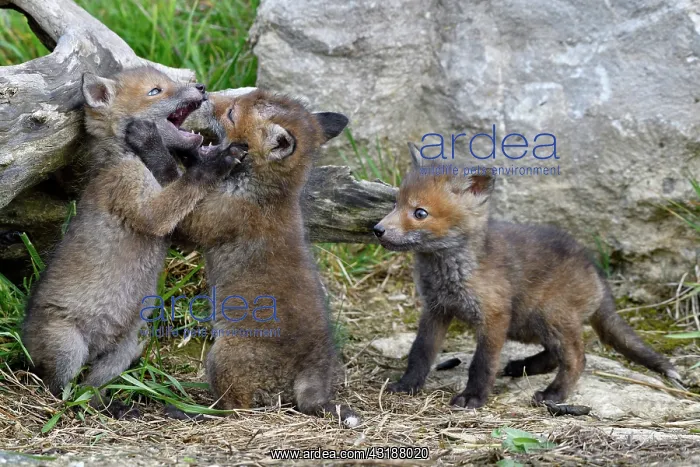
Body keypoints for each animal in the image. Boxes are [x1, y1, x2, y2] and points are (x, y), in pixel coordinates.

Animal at [21, 67, 240, 408]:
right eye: (155, 91)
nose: (202, 87)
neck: (126, 157)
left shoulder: (177, 229)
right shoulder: (146, 207)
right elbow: (187, 183)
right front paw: (214, 163)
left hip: (130, 344)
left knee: (91, 390)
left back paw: (116, 408)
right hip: (68, 348)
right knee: (62, 391)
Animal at [169, 89, 360, 427]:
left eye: (231, 113)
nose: (205, 93)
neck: (265, 192)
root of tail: (314, 369)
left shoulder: (204, 222)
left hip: (222, 358)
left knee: (236, 409)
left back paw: (194, 412)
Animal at [373, 143, 682, 408]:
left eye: (420, 213)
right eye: (396, 204)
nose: (377, 230)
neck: (449, 272)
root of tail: (595, 271)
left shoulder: (494, 317)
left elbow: (482, 363)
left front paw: (474, 397)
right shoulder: (436, 310)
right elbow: (420, 352)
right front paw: (407, 384)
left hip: (547, 316)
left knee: (576, 358)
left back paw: (554, 393)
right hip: (531, 324)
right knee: (555, 356)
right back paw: (523, 366)